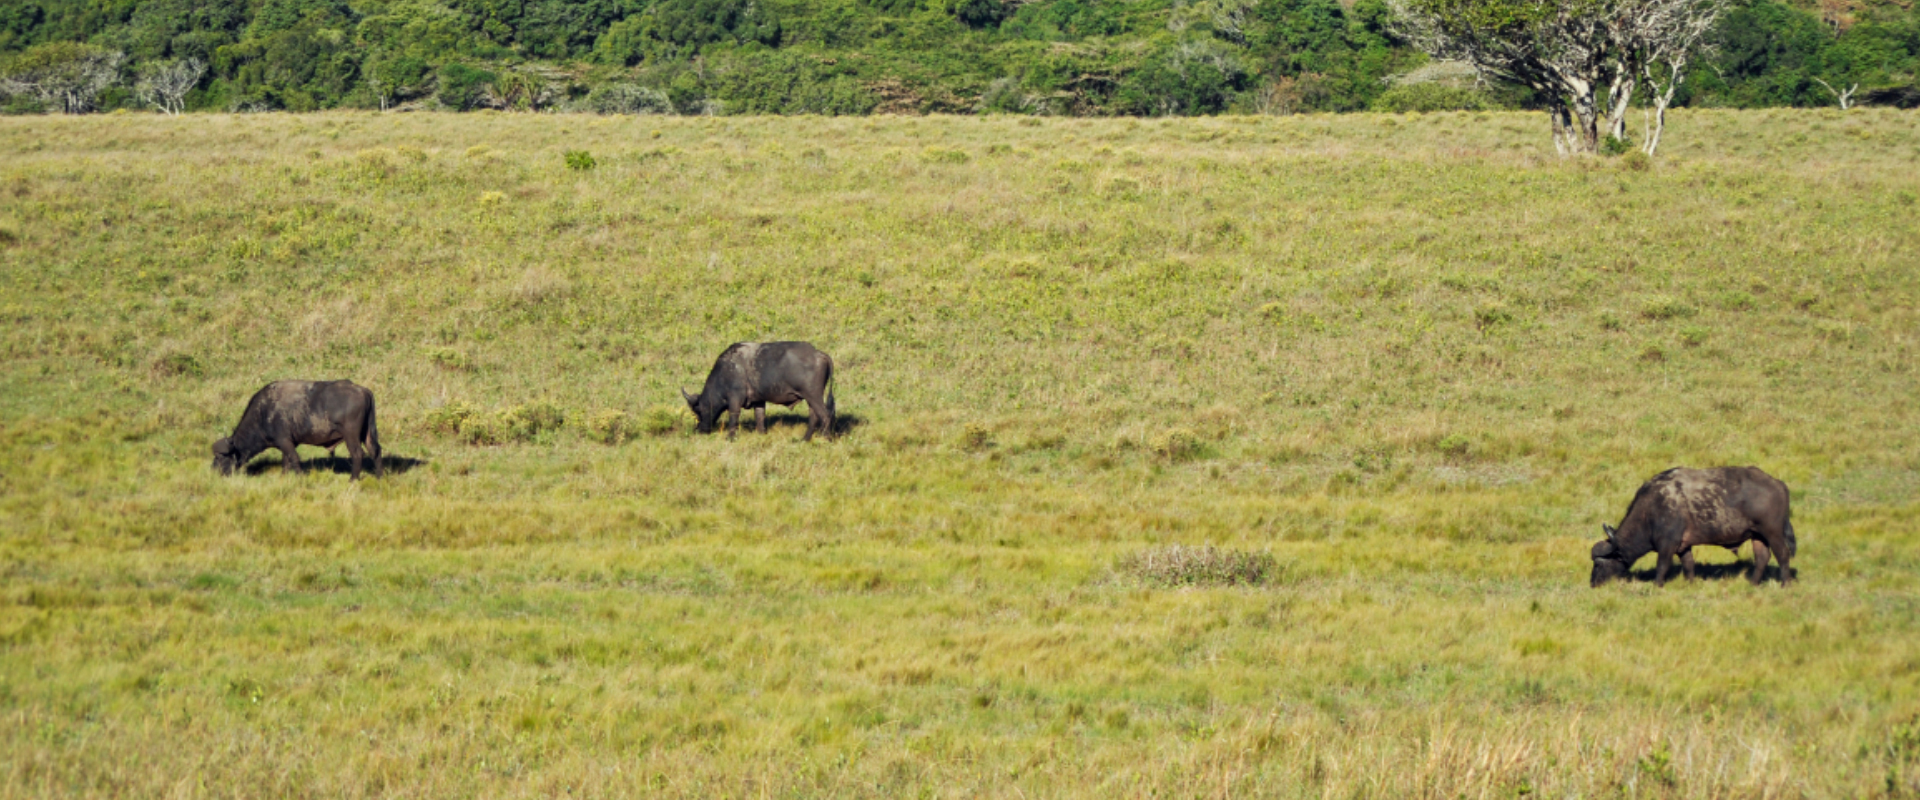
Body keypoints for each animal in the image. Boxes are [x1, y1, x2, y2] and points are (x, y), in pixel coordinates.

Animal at [214, 377, 382, 477]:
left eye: (221, 457)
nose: (214, 470)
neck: (264, 411)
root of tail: (363, 391)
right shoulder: (287, 443)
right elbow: (286, 461)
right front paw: (283, 476)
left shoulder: (284, 441)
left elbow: (294, 458)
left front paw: (300, 477)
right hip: (367, 433)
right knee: (374, 450)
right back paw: (379, 477)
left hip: (351, 436)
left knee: (358, 454)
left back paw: (353, 479)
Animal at [683, 341, 833, 439]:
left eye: (698, 410)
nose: (699, 430)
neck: (725, 372)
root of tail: (819, 354)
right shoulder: (758, 401)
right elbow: (759, 416)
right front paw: (761, 434)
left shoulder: (735, 398)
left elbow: (734, 416)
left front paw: (730, 437)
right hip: (810, 399)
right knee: (814, 416)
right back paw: (805, 439)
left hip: (813, 396)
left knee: (825, 415)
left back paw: (825, 438)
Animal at [1582, 460, 1789, 587]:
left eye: (1599, 564)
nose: (1593, 583)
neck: (1651, 509)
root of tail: (1777, 483)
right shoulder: (1683, 546)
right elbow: (1689, 564)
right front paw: (1690, 583)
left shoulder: (1668, 545)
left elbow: (1662, 565)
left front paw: (1657, 585)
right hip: (1758, 536)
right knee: (1762, 557)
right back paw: (1753, 583)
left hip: (1774, 534)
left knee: (1782, 555)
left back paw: (1785, 583)